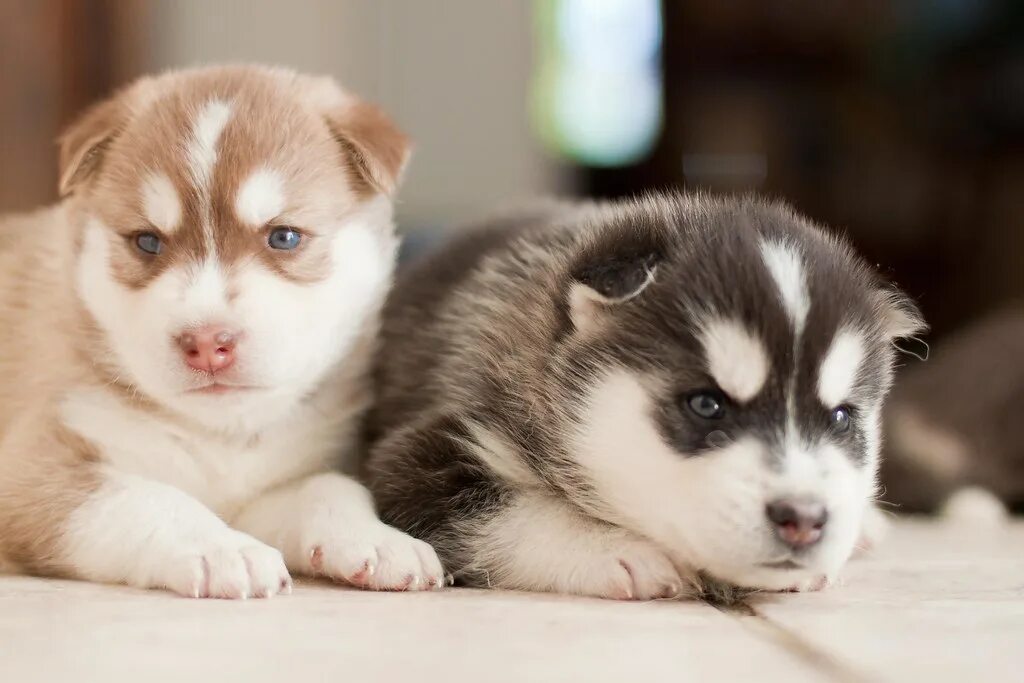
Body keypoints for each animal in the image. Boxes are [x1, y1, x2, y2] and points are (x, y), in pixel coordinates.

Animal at [0, 63, 442, 598]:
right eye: (147, 242)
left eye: (284, 237)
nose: (207, 344)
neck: (220, 435)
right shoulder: (31, 469)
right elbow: (144, 496)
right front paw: (221, 548)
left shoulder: (270, 484)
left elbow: (327, 486)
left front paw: (376, 538)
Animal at [364, 193, 925, 598]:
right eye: (706, 405)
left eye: (840, 418)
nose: (804, 519)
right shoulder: (420, 456)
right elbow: (514, 512)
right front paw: (615, 549)